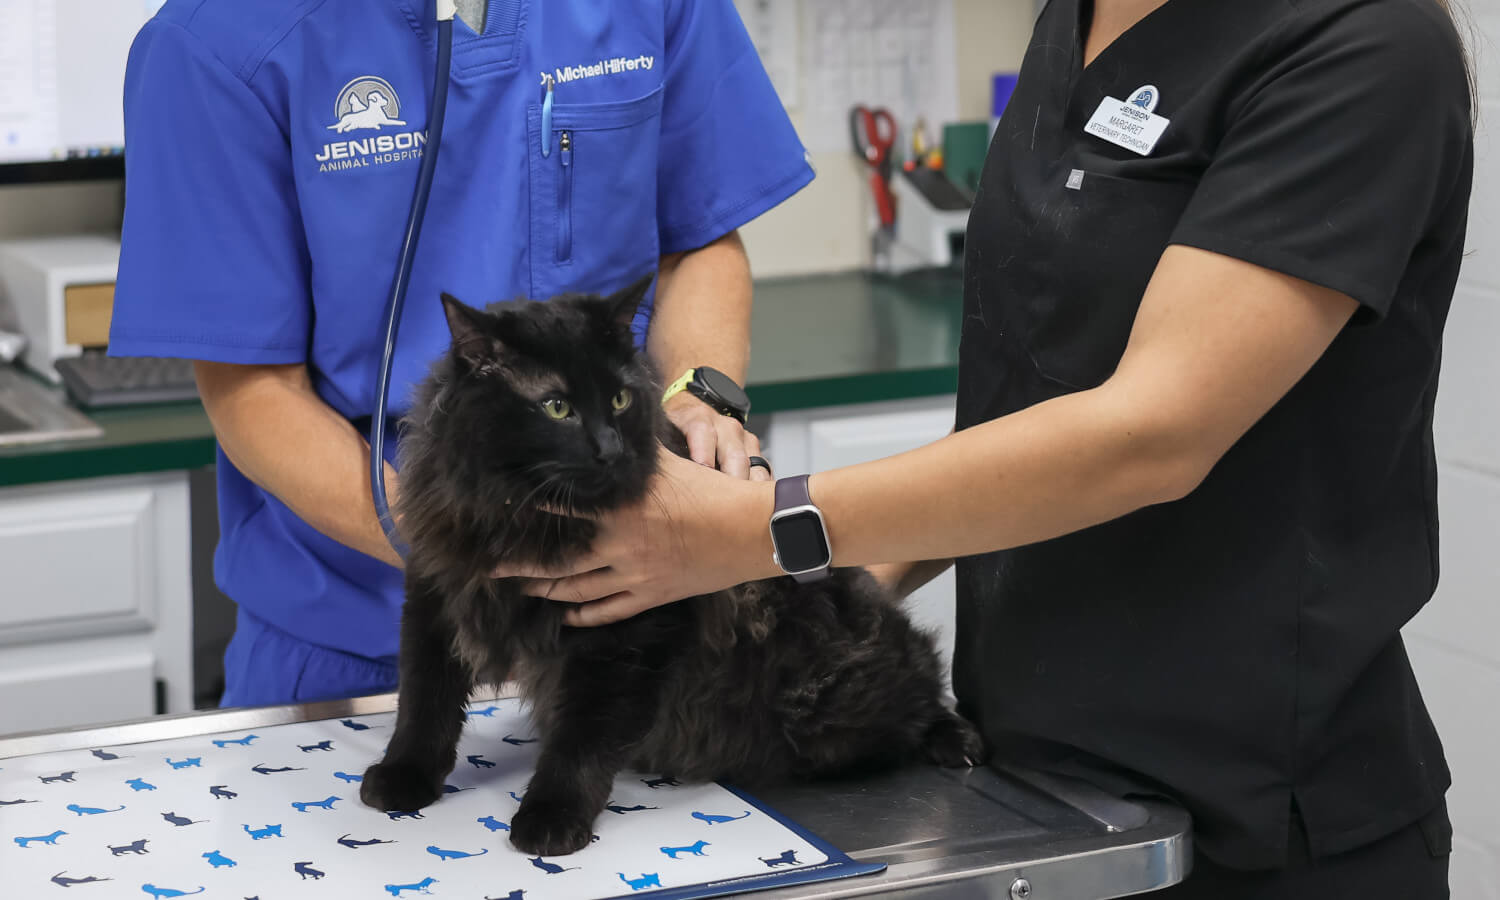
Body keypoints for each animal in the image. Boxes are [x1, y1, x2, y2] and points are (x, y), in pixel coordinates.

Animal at [361, 277, 984, 852]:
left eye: (619, 400)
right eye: (556, 407)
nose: (611, 450)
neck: (518, 514)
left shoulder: (625, 639)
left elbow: (580, 741)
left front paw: (552, 818)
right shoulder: (437, 596)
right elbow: (423, 706)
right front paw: (402, 778)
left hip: (836, 706)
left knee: (925, 690)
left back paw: (955, 739)